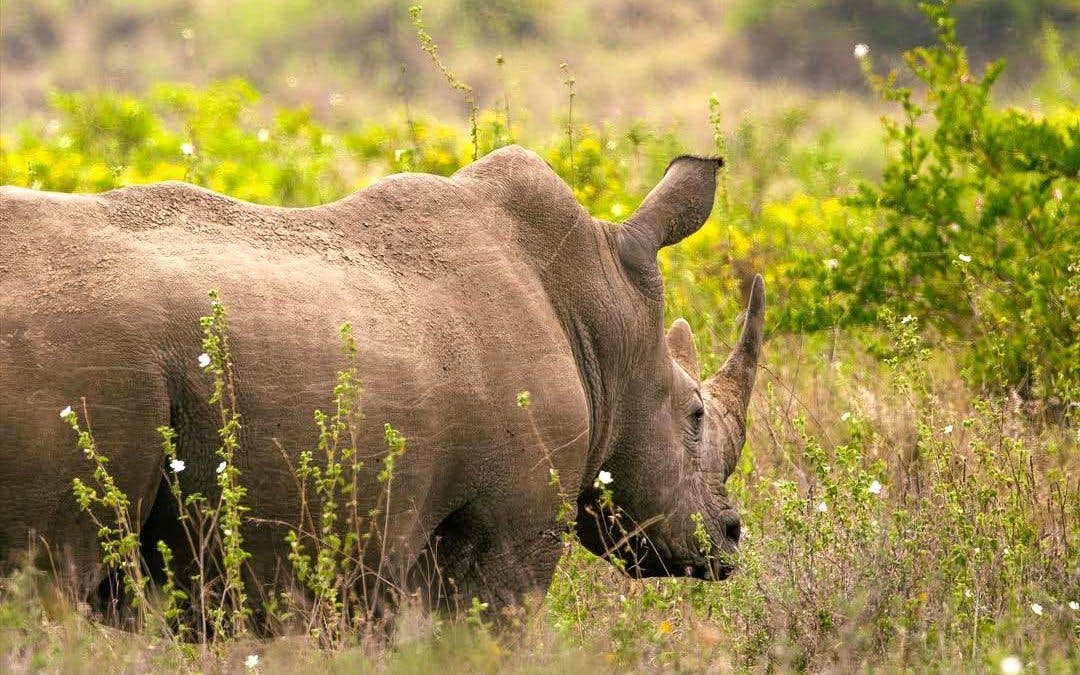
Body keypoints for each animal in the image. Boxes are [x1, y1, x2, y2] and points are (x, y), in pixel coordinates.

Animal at [0, 145, 764, 620]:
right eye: (695, 414)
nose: (731, 537)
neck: (602, 317)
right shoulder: (513, 527)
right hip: (79, 351)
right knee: (50, 585)